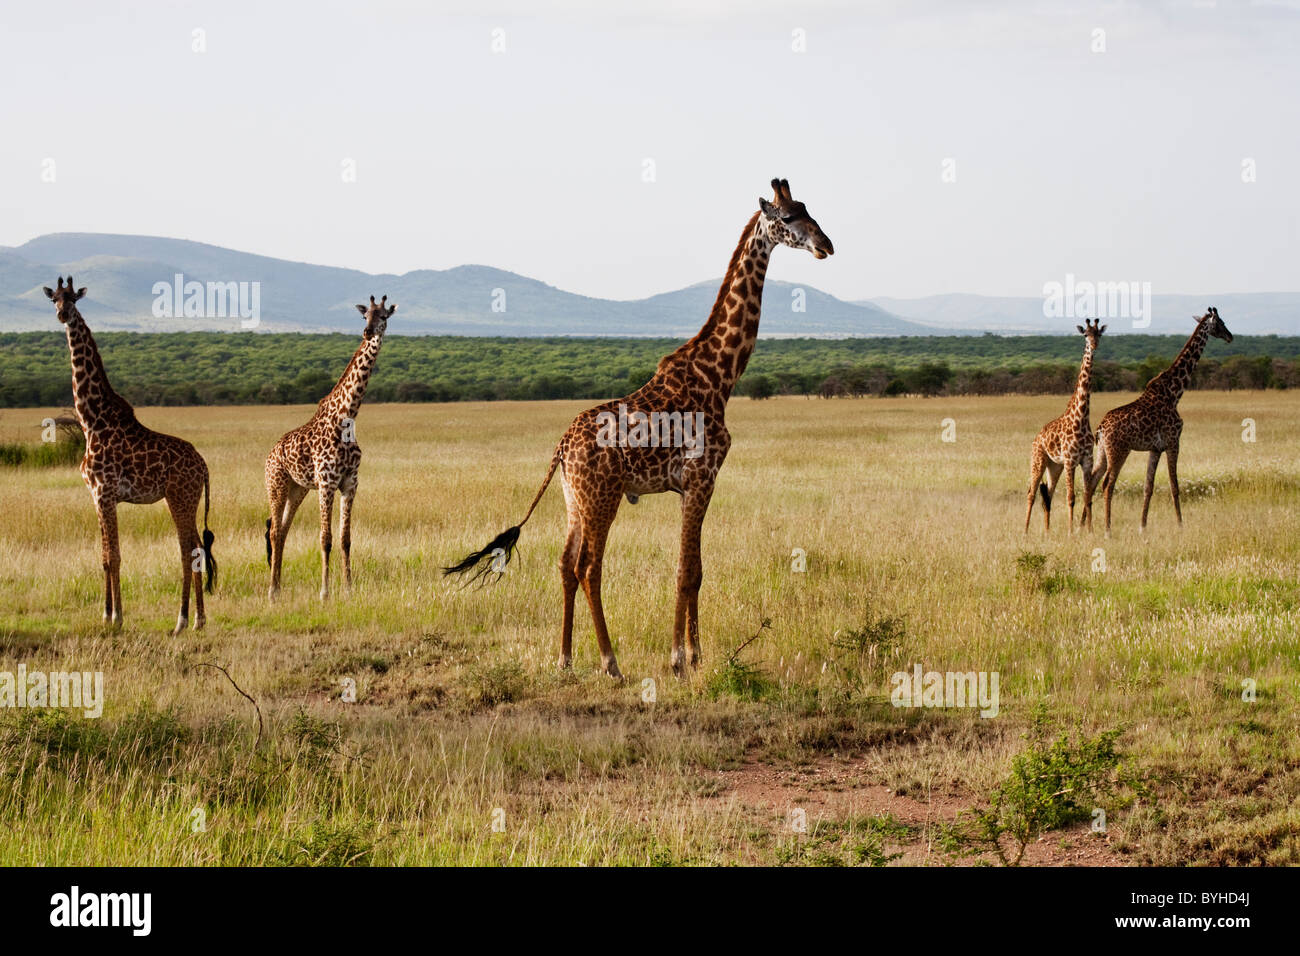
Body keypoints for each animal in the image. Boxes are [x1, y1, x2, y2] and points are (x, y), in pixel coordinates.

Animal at [44, 276, 216, 634]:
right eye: (54, 298)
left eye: (73, 298)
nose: (62, 314)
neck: (91, 420)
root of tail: (204, 466)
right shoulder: (96, 496)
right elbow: (104, 556)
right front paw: (105, 614)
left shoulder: (105, 493)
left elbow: (115, 556)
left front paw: (117, 618)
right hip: (186, 499)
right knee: (195, 547)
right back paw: (199, 620)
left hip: (179, 497)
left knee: (187, 550)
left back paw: (181, 621)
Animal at [264, 295, 395, 599]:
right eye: (365, 316)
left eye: (383, 316)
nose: (368, 332)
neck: (347, 417)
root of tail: (270, 453)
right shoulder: (326, 483)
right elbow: (325, 538)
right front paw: (324, 593)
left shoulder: (350, 483)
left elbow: (345, 538)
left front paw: (348, 589)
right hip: (276, 484)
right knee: (274, 531)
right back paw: (271, 591)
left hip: (297, 489)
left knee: (283, 530)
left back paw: (279, 588)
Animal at [444, 179, 833, 679]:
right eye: (787, 218)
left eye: (807, 208)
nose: (826, 245)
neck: (721, 375)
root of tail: (560, 447)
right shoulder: (701, 477)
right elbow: (685, 571)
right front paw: (679, 661)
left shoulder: (692, 486)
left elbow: (696, 570)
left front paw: (697, 655)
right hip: (603, 498)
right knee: (589, 568)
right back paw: (610, 662)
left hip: (575, 498)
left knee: (565, 564)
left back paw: (565, 658)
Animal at [1024, 318, 1106, 533]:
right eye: (1085, 334)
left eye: (1099, 334)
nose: (1094, 345)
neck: (1082, 417)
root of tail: (1036, 438)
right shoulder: (1070, 461)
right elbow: (1071, 498)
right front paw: (1070, 532)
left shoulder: (1086, 460)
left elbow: (1087, 496)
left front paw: (1090, 531)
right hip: (1039, 460)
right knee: (1031, 493)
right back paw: (1025, 531)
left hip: (1054, 466)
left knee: (1048, 495)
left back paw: (1047, 532)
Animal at [1088, 307, 1234, 534]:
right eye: (1220, 322)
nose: (1230, 336)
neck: (1175, 393)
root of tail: (1100, 428)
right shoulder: (1173, 442)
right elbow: (1175, 486)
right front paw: (1181, 525)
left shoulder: (1155, 449)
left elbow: (1148, 487)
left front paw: (1142, 526)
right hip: (1119, 451)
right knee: (1107, 485)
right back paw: (1107, 530)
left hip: (1103, 452)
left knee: (1092, 483)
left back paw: (1086, 527)